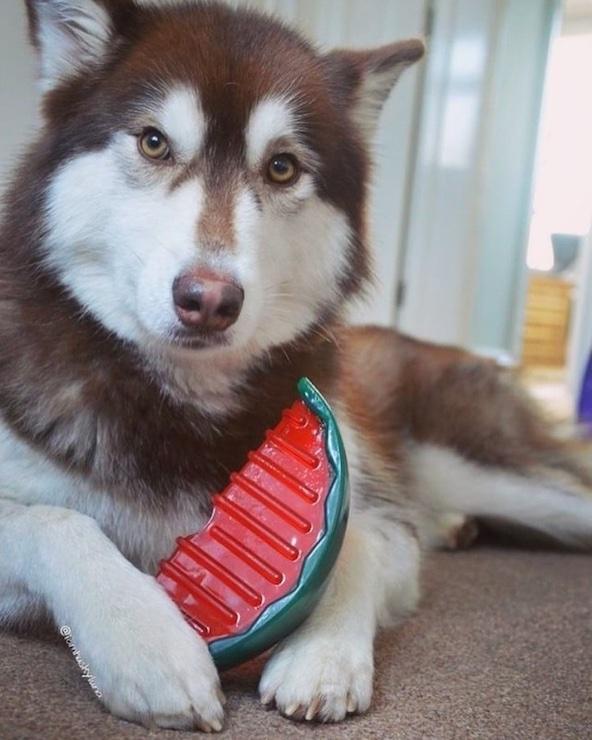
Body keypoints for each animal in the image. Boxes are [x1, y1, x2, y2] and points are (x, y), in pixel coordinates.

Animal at [1, 0, 591, 731]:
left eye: (282, 167)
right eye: (154, 142)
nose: (208, 300)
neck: (185, 403)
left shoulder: (378, 509)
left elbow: (358, 542)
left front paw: (323, 654)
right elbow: (52, 520)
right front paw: (144, 638)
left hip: (493, 471)